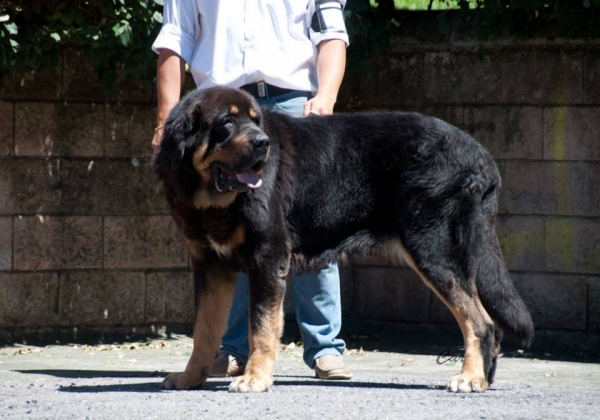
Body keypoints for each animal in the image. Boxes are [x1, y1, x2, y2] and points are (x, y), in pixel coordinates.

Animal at [155, 86, 536, 394]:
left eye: (255, 121)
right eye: (227, 123)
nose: (262, 143)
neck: (213, 201)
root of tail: (479, 154)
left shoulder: (267, 258)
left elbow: (261, 328)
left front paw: (255, 379)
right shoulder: (210, 266)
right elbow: (204, 331)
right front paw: (190, 378)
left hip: (434, 250)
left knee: (481, 323)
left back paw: (470, 378)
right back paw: (483, 378)